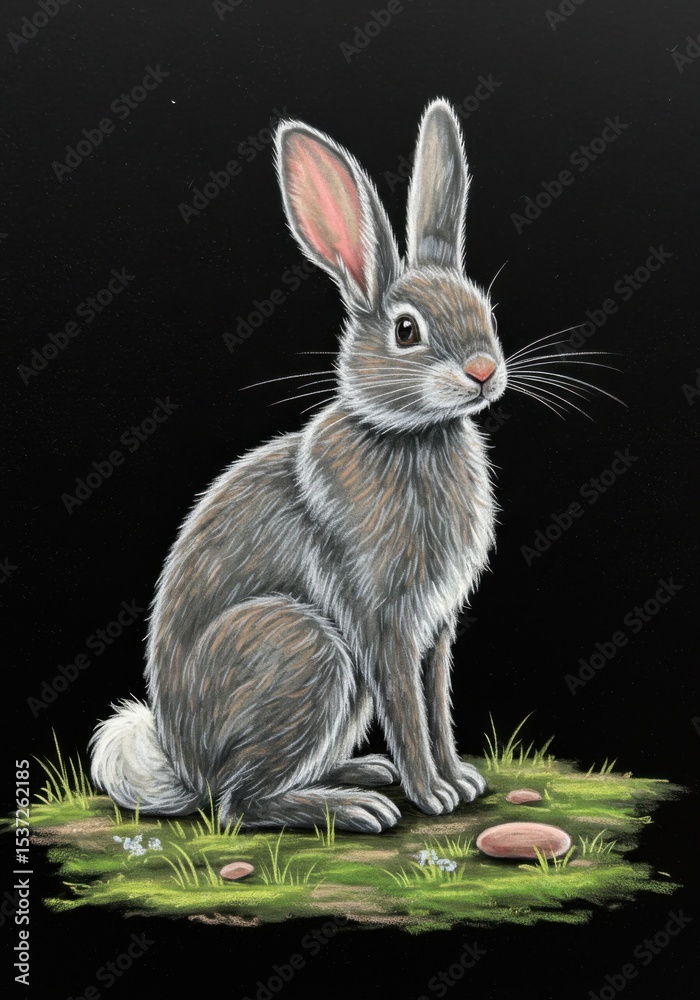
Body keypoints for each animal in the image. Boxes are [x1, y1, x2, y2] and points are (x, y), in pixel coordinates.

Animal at [90, 98, 508, 833]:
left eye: (483, 310)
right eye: (406, 331)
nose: (485, 372)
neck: (410, 434)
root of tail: (185, 764)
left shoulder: (436, 631)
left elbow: (436, 704)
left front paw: (460, 781)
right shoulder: (383, 619)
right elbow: (409, 708)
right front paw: (432, 794)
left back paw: (362, 774)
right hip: (303, 651)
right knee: (238, 804)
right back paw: (358, 806)